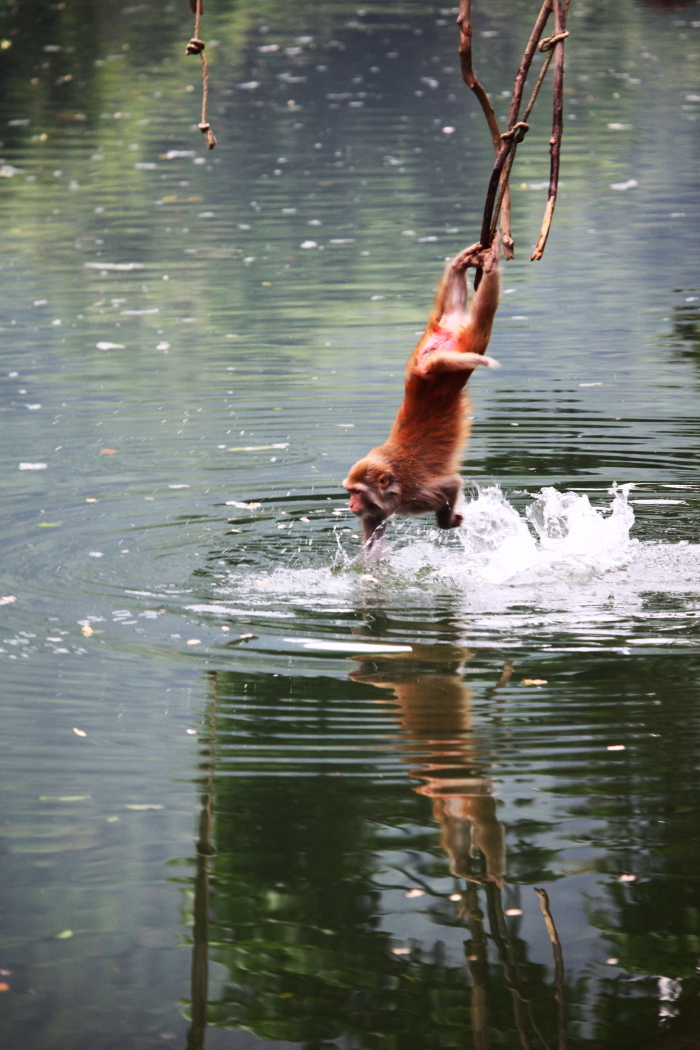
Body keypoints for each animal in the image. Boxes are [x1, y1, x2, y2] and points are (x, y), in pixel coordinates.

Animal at [342, 234, 501, 546]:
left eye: (356, 492)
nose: (350, 505)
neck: (394, 487)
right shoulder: (376, 511)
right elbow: (373, 547)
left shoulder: (416, 494)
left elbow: (452, 483)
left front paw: (447, 522)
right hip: (434, 340)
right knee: (452, 306)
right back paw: (459, 265)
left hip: (447, 358)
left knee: (481, 320)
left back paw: (489, 268)